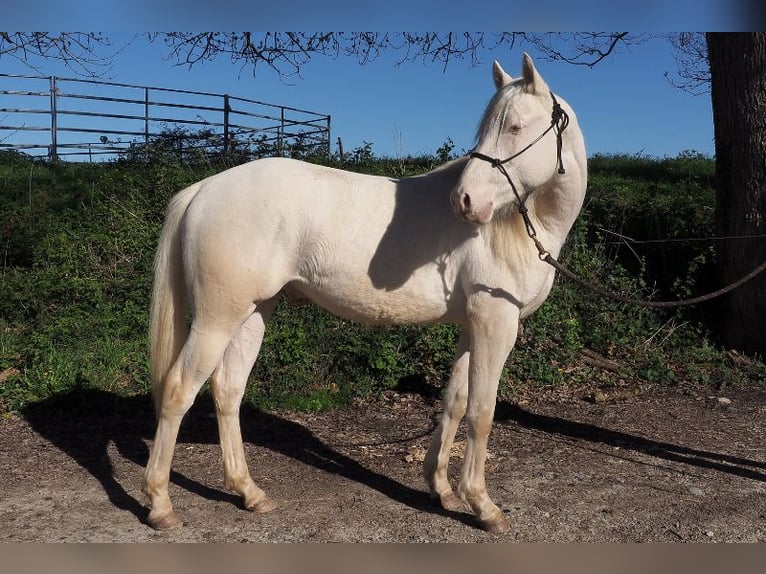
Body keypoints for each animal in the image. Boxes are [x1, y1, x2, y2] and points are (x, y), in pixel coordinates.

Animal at [142, 53, 587, 534]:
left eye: (516, 127)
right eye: (492, 127)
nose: (465, 201)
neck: (521, 226)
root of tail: (204, 188)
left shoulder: (473, 326)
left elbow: (454, 402)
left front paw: (442, 490)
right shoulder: (495, 323)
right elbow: (481, 412)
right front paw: (483, 505)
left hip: (253, 312)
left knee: (228, 390)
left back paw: (249, 493)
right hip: (216, 319)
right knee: (179, 390)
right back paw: (161, 504)